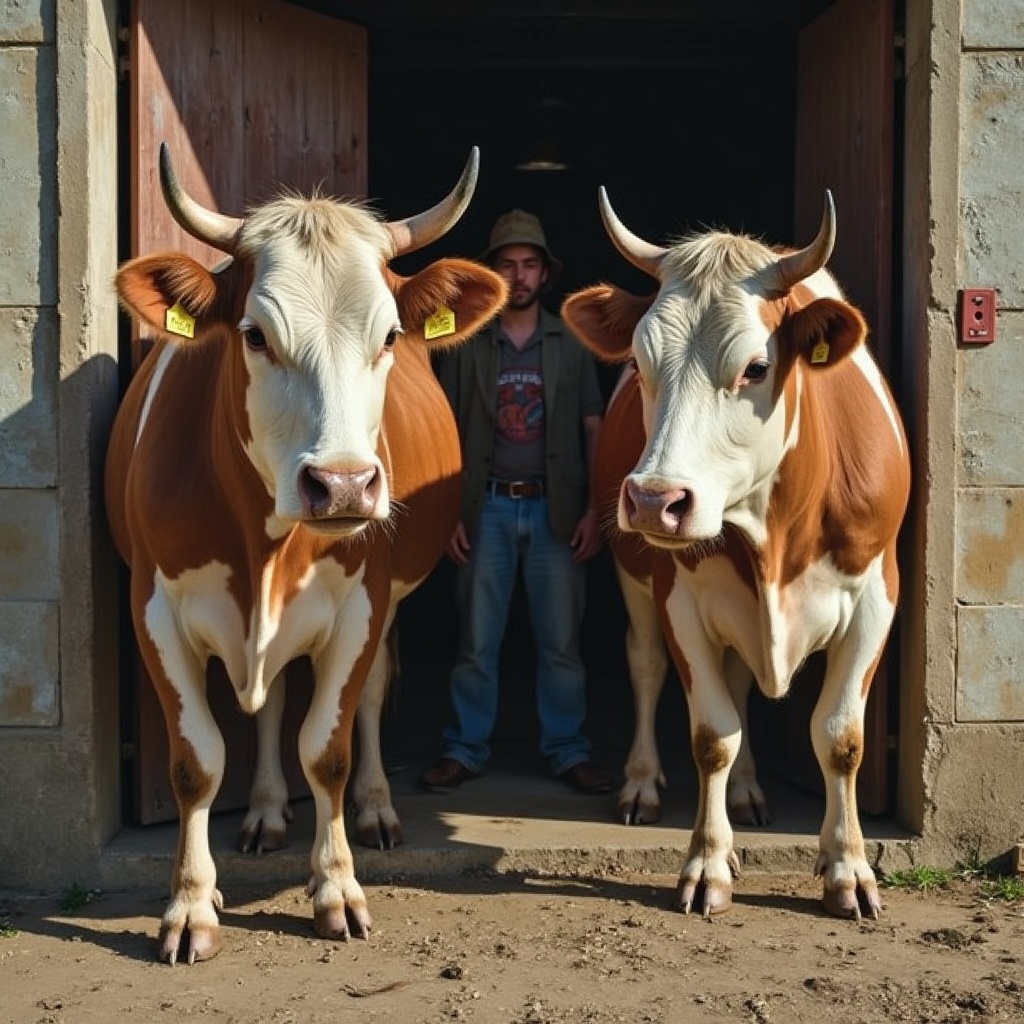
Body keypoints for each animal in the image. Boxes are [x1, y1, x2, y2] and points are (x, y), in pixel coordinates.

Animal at [104, 144, 506, 964]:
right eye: (255, 334)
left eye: (390, 336)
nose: (344, 484)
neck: (266, 547)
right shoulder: (153, 610)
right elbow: (197, 761)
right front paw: (190, 902)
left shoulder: (360, 607)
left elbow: (328, 749)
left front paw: (336, 888)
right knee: (273, 701)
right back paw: (263, 813)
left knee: (371, 697)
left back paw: (378, 809)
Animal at [561, 188, 910, 921]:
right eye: (640, 364)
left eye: (756, 366)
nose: (654, 499)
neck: (776, 534)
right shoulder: (680, 599)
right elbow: (712, 735)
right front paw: (707, 863)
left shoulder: (877, 595)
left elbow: (841, 737)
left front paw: (849, 869)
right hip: (634, 578)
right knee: (645, 665)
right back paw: (641, 783)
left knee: (746, 680)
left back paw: (750, 791)